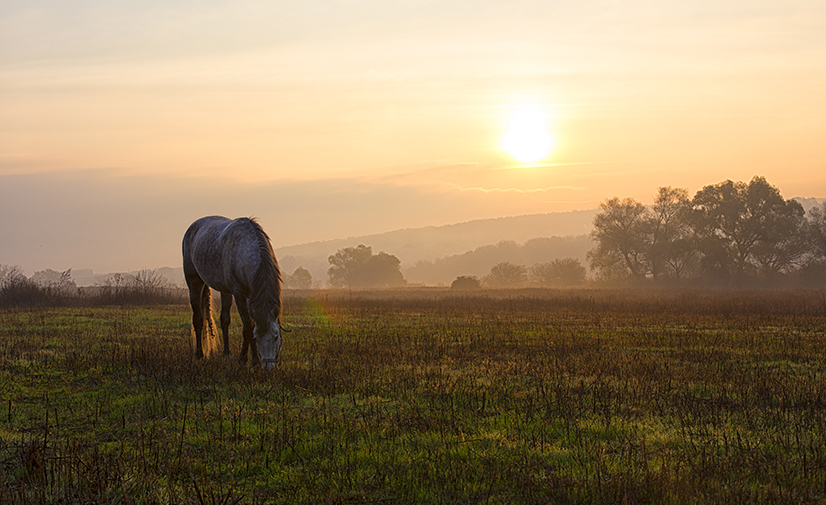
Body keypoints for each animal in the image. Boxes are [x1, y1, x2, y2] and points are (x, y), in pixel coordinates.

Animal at [180, 215, 286, 368]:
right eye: (257, 337)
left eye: (276, 336)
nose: (268, 367)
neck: (244, 250)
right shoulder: (239, 295)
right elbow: (248, 327)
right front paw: (252, 360)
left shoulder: (249, 296)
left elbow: (246, 326)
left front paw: (243, 358)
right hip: (194, 283)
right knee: (198, 319)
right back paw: (199, 354)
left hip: (225, 290)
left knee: (224, 320)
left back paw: (226, 354)